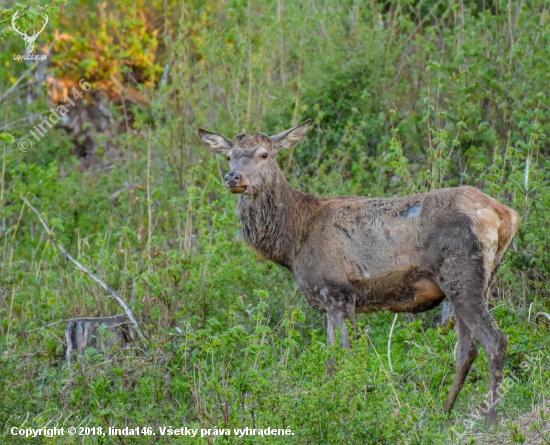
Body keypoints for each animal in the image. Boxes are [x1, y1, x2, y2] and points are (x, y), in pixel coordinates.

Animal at [198, 118, 520, 426]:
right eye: (228, 156)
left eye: (264, 154)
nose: (233, 177)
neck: (293, 241)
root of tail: (507, 214)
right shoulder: (328, 301)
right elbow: (332, 361)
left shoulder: (337, 291)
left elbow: (345, 359)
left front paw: (345, 410)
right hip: (472, 281)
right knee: (467, 350)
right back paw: (443, 413)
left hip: (462, 273)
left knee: (496, 340)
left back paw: (490, 421)